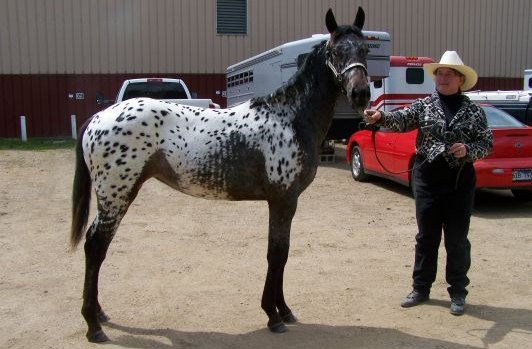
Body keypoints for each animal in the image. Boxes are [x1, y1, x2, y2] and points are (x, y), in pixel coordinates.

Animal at [70, 6, 370, 342]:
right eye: (335, 51)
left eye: (365, 49)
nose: (361, 93)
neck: (289, 118)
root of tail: (98, 117)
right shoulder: (282, 200)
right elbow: (276, 254)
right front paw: (273, 316)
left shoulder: (286, 203)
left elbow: (282, 253)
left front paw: (285, 311)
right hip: (116, 196)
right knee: (95, 246)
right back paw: (93, 325)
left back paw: (99, 314)